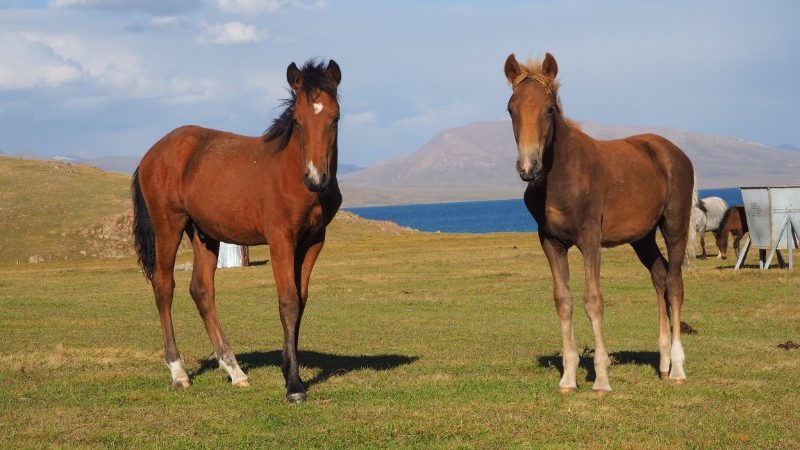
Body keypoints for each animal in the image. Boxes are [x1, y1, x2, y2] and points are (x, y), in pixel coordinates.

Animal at [132, 60, 344, 404]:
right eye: (297, 121)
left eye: (334, 118)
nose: (316, 178)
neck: (292, 172)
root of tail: (153, 152)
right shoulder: (280, 239)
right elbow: (288, 302)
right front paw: (294, 385)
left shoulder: (314, 241)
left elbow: (301, 301)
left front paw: (288, 368)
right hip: (168, 226)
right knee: (164, 286)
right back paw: (178, 372)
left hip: (204, 233)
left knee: (202, 290)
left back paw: (234, 371)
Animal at [504, 51, 696, 392]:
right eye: (510, 109)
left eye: (549, 109)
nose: (528, 167)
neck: (561, 177)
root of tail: (672, 152)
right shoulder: (551, 242)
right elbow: (563, 301)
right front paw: (568, 377)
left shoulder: (590, 237)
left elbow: (593, 300)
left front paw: (602, 379)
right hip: (642, 237)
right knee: (659, 276)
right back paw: (662, 365)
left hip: (674, 224)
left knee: (674, 283)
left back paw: (677, 369)